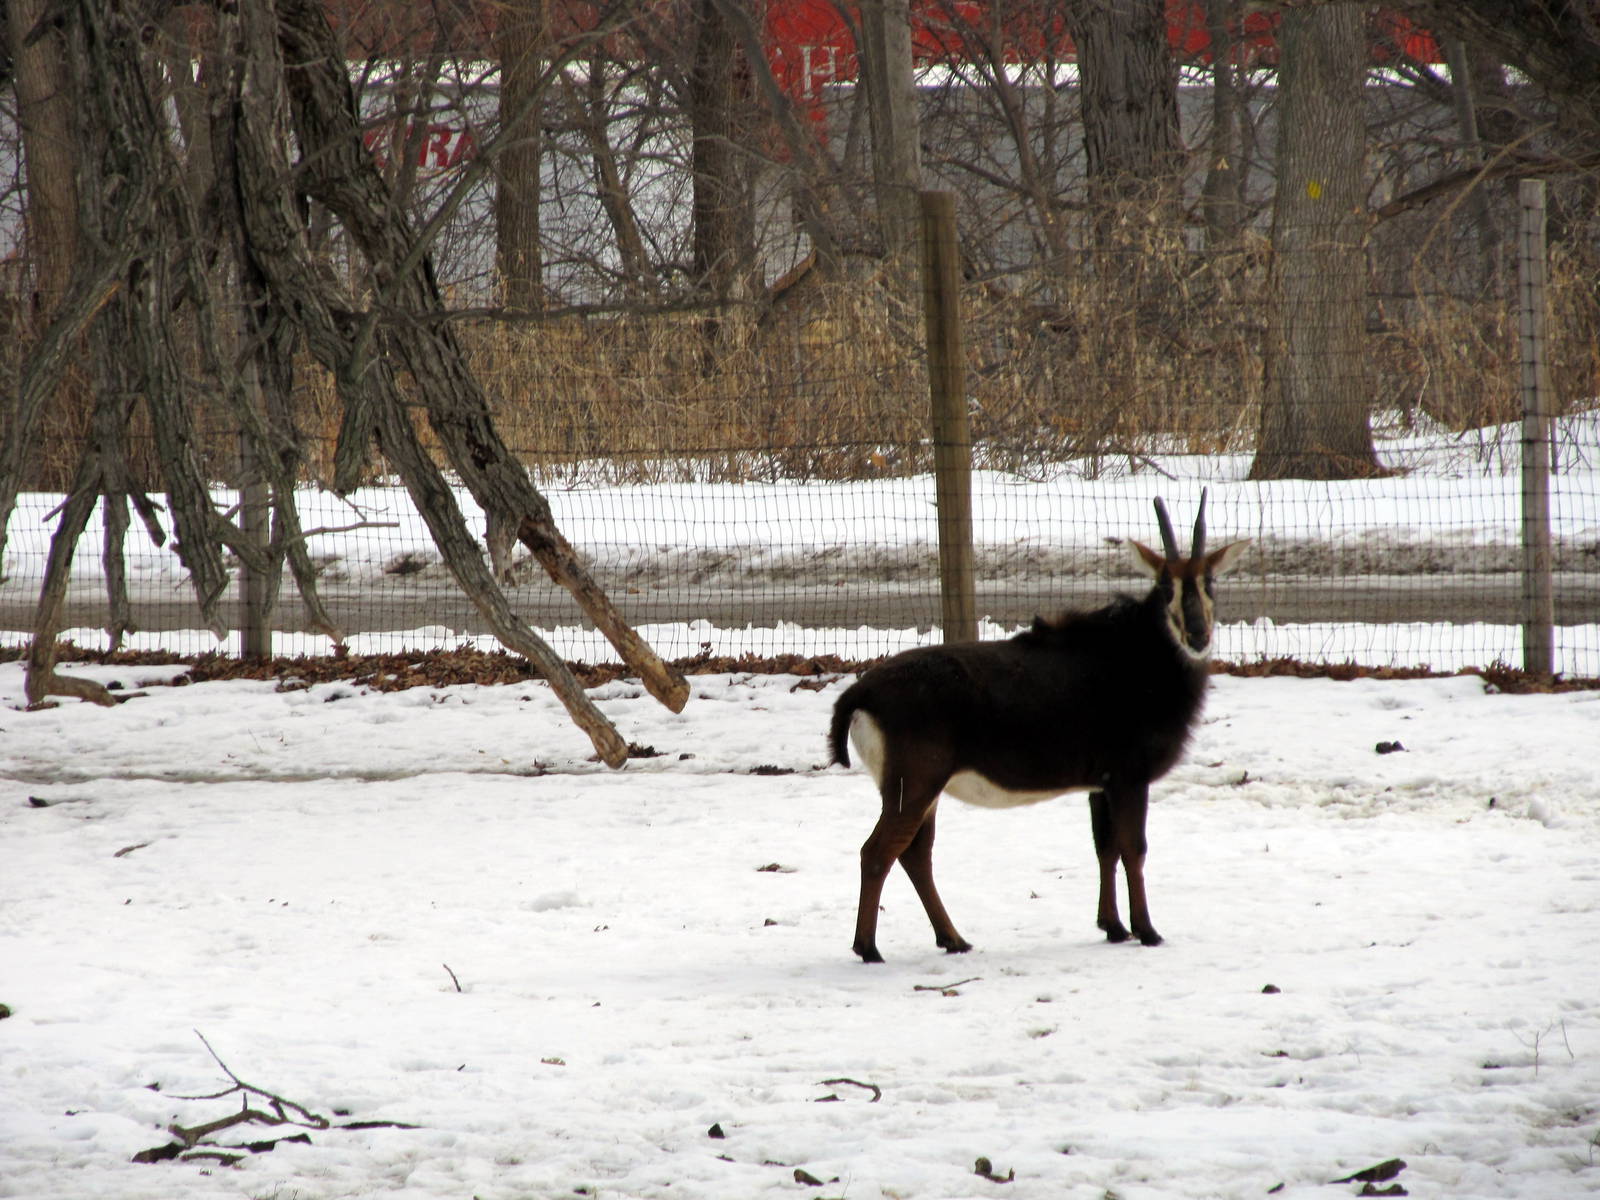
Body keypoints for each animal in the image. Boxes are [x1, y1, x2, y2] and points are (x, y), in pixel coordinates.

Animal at [828, 493, 1248, 962]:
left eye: (1209, 582)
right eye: (1165, 586)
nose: (1197, 635)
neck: (1142, 657)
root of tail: (860, 693)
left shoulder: (1100, 784)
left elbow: (1105, 849)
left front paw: (1113, 927)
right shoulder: (1129, 779)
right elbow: (1133, 850)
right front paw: (1147, 930)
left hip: (923, 791)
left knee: (916, 855)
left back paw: (953, 939)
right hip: (913, 785)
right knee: (878, 852)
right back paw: (869, 948)